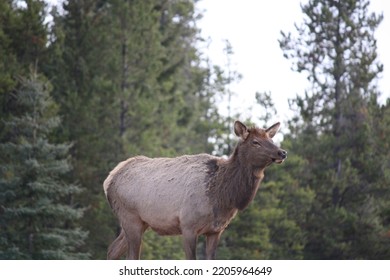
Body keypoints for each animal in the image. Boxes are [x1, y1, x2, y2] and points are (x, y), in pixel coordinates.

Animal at [103, 121, 286, 260]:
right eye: (255, 142)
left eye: (270, 138)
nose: (282, 152)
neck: (222, 197)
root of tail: (109, 180)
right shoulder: (188, 225)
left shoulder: (215, 231)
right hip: (130, 217)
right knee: (131, 256)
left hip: (140, 222)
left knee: (112, 250)